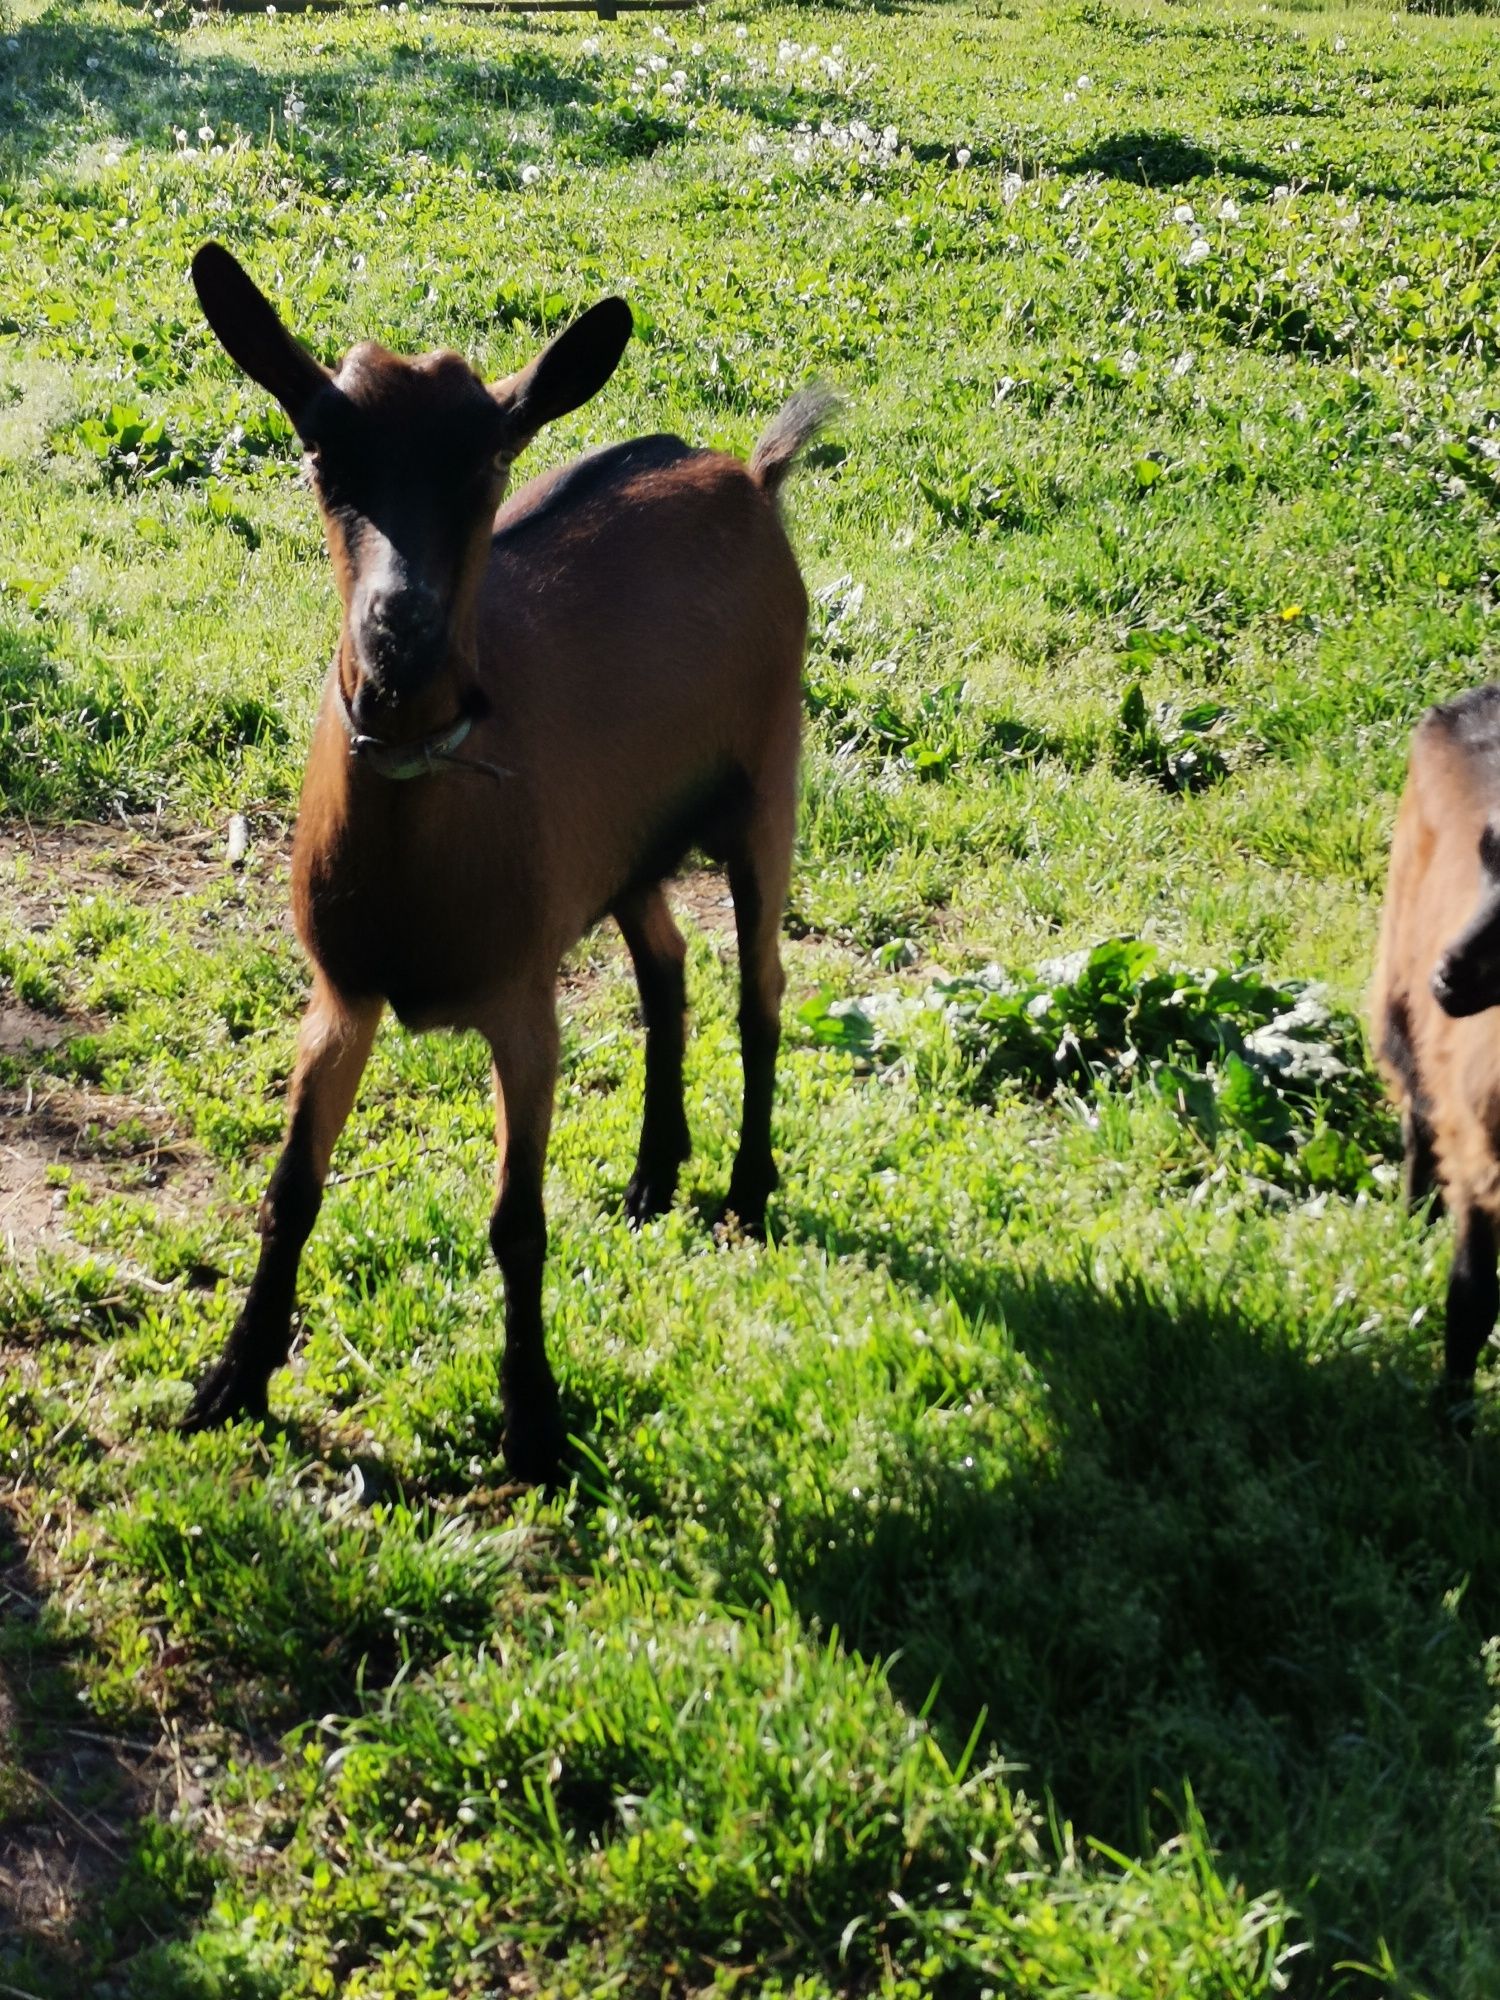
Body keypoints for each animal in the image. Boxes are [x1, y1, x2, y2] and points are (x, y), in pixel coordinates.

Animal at [184, 246, 836, 1488]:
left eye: (491, 458)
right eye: (321, 451)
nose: (401, 631)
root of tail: (748, 472)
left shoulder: (524, 1005)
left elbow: (515, 1220)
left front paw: (533, 1422)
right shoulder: (341, 990)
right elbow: (291, 1189)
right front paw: (232, 1379)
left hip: (767, 781)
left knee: (762, 986)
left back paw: (745, 1188)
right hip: (622, 849)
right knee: (666, 963)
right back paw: (654, 1172)